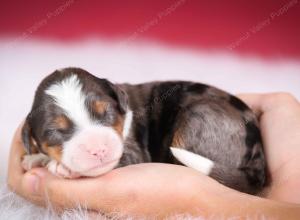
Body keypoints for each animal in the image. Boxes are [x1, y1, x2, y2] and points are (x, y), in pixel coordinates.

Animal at [22, 67, 268, 194]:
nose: (99, 150)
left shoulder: (133, 152)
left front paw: (63, 168)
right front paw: (36, 158)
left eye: (106, 113)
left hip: (198, 119)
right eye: (56, 131)